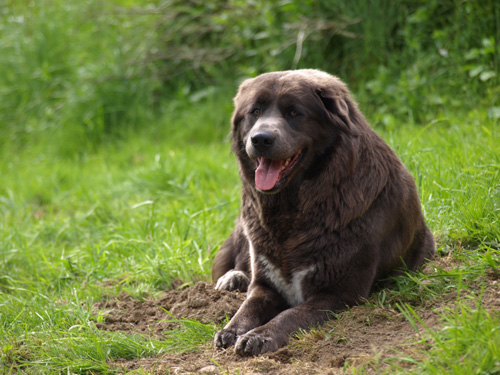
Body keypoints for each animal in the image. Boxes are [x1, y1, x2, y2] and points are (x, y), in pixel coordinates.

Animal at [211, 70, 434, 356]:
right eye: (255, 111)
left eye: (294, 112)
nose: (260, 139)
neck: (293, 208)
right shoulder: (264, 284)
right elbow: (247, 308)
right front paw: (231, 330)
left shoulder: (336, 293)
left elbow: (290, 315)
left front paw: (261, 336)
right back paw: (233, 278)